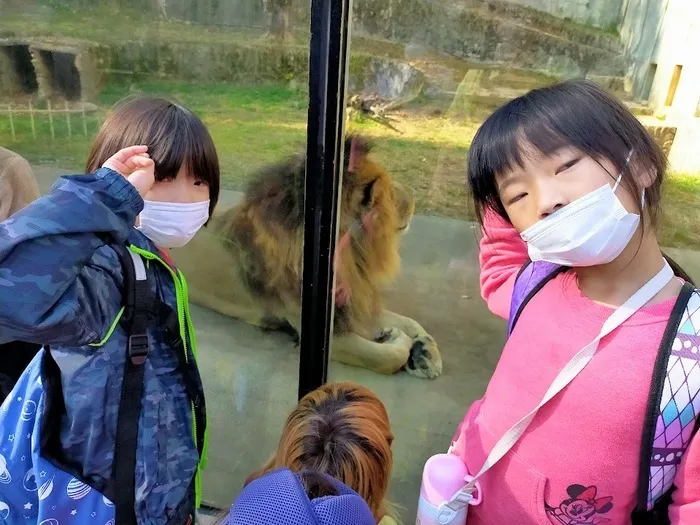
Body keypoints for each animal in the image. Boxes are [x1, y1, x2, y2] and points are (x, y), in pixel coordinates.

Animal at [171, 137, 442, 378]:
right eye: (389, 191)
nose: (414, 196)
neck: (353, 259)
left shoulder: (353, 303)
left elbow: (409, 321)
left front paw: (425, 352)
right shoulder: (324, 333)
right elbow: (387, 357)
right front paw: (397, 340)